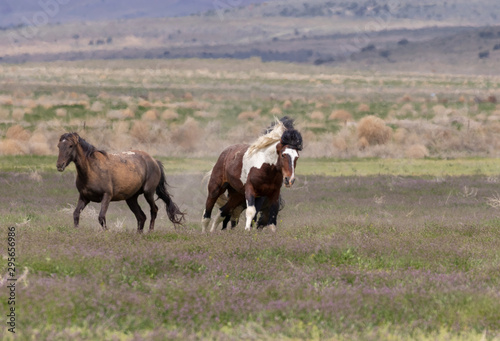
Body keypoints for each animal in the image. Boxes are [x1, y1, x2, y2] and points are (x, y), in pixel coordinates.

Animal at [56, 132, 185, 231]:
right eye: (58, 146)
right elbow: (76, 214)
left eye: (70, 145)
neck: (92, 169)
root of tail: (154, 161)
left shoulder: (106, 196)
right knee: (141, 216)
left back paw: (150, 231)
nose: (59, 165)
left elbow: (101, 217)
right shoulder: (84, 197)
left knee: (154, 210)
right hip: (131, 198)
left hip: (148, 193)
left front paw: (107, 232)